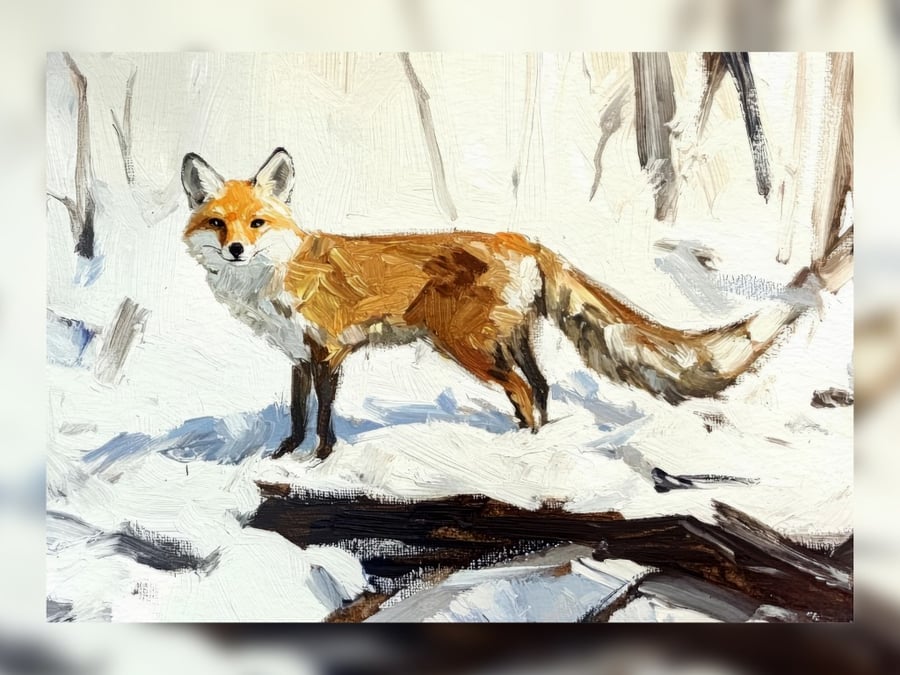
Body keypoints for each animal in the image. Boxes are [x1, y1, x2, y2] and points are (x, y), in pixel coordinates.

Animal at [181, 148, 852, 461]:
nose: (236, 249)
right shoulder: (297, 357)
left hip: (469, 347)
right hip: (508, 340)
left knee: (526, 391)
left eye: (258, 222)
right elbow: (297, 414)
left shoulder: (329, 351)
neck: (277, 276)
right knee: (542, 387)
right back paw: (534, 443)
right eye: (217, 223)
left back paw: (519, 449)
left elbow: (322, 419)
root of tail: (524, 239)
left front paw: (320, 461)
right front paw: (281, 457)